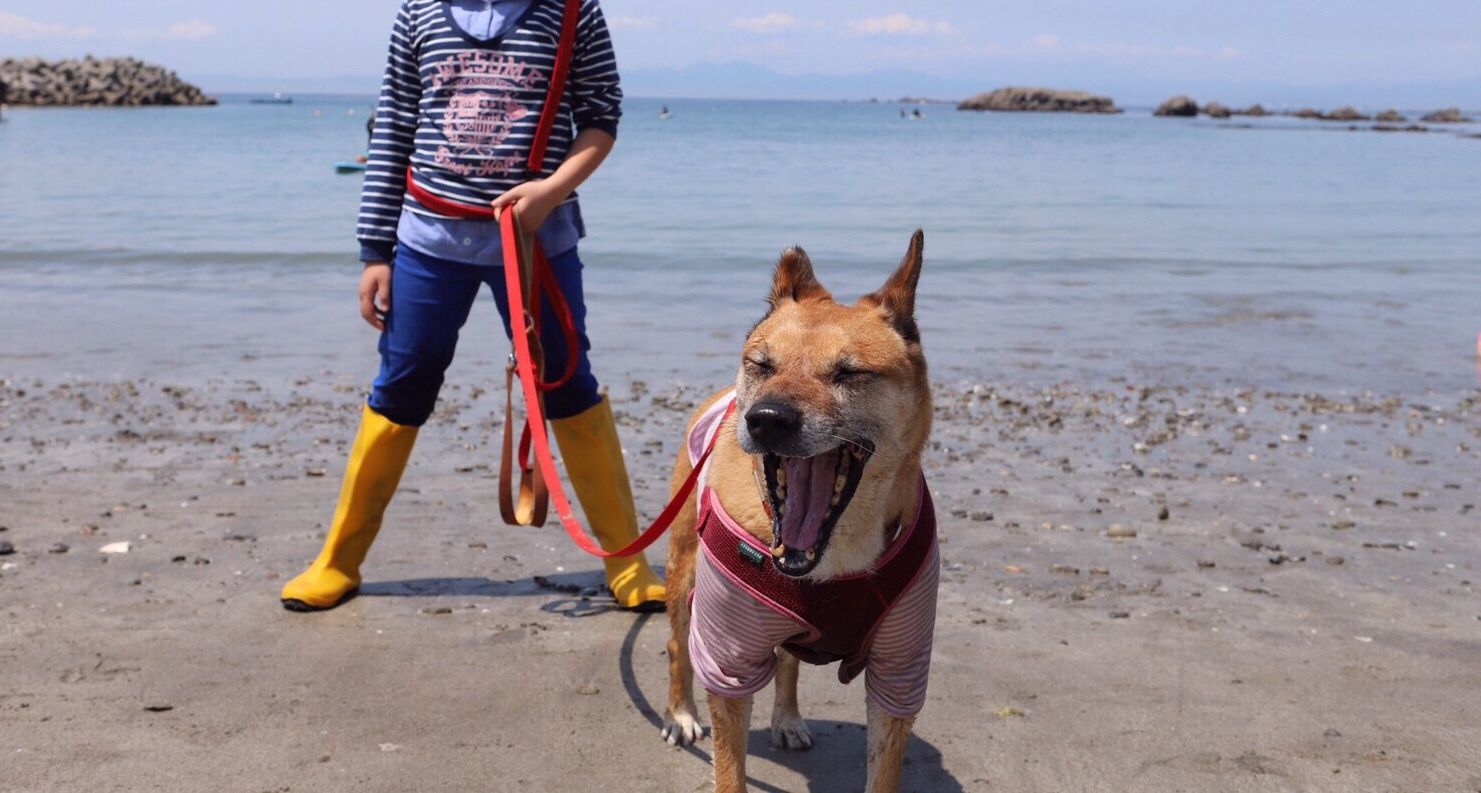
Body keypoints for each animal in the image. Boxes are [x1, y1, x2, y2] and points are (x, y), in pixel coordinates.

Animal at [663, 231, 935, 793]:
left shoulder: (900, 665)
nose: (766, 418)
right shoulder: (728, 657)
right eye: (762, 364)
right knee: (678, 644)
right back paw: (679, 712)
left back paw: (787, 718)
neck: (831, 556)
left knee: (789, 660)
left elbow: (883, 770)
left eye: (849, 372)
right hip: (683, 568)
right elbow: (730, 772)